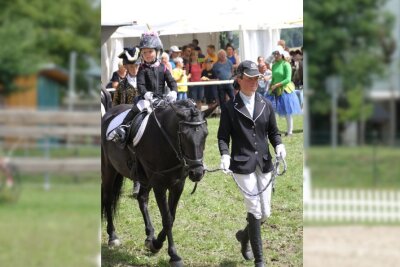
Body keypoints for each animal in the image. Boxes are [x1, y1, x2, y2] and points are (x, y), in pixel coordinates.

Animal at [103, 99, 214, 266]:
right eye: (183, 135)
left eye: (205, 134)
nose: (197, 173)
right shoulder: (159, 186)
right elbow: (167, 219)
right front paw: (173, 255)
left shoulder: (177, 185)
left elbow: (171, 217)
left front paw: (155, 243)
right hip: (109, 170)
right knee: (108, 199)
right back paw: (113, 236)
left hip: (144, 179)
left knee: (142, 199)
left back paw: (149, 234)